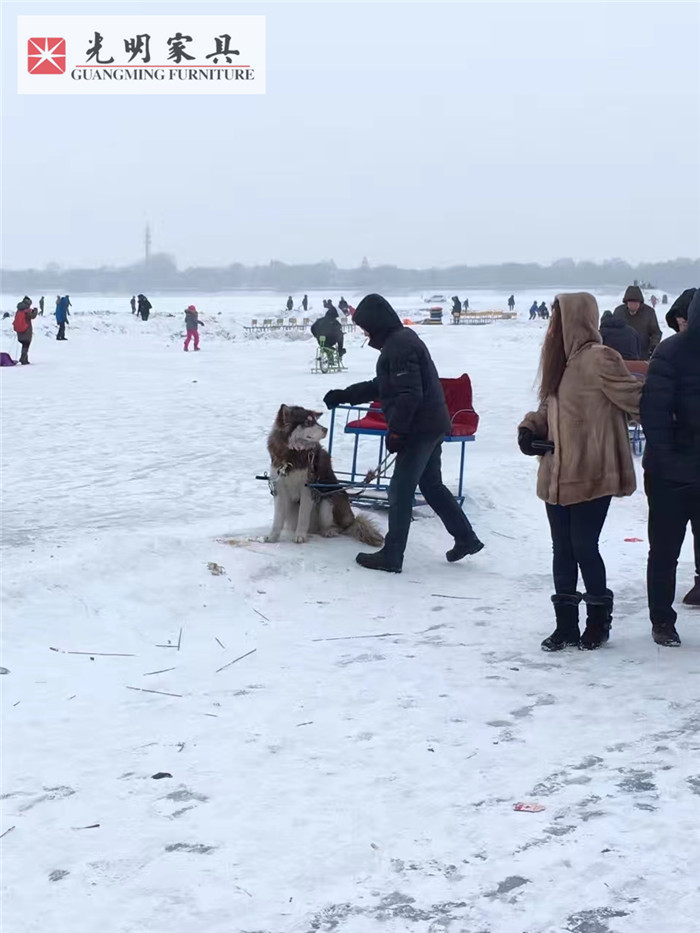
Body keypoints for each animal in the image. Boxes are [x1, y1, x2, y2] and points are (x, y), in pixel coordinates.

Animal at [266, 400, 382, 548]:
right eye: (308, 422)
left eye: (315, 421)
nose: (326, 429)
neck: (293, 453)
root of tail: (351, 519)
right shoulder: (280, 489)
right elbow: (277, 519)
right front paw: (272, 537)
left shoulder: (307, 489)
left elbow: (303, 516)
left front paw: (300, 536)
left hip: (328, 501)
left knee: (338, 527)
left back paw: (330, 531)